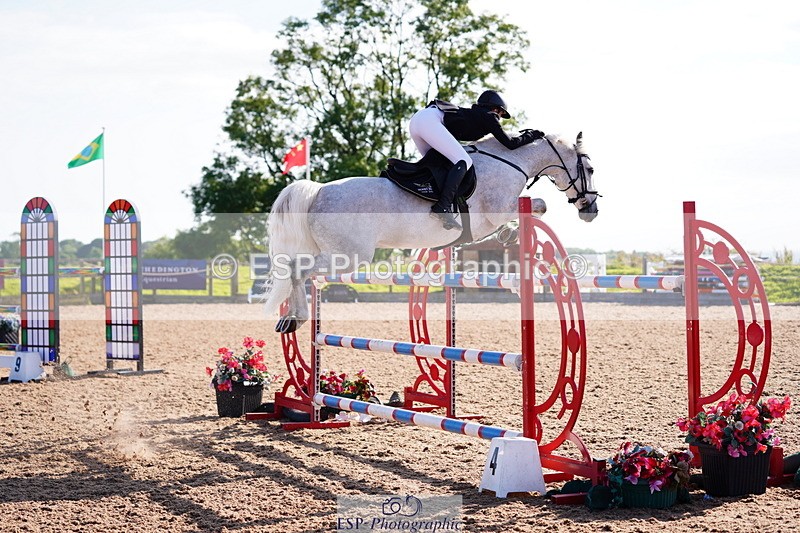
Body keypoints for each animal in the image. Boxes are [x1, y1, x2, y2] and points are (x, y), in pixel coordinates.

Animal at [263, 132, 599, 333]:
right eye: (591, 169)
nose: (591, 210)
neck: (511, 160)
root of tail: (318, 191)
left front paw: (508, 236)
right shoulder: (496, 210)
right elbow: (537, 205)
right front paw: (511, 233)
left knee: (296, 271)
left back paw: (288, 319)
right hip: (348, 256)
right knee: (297, 269)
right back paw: (295, 318)